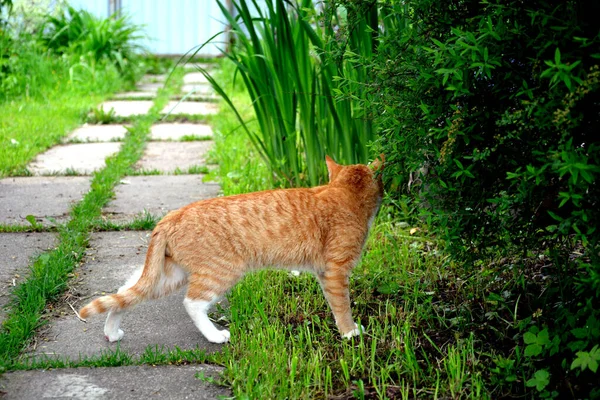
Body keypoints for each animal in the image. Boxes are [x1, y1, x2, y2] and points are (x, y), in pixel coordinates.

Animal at [79, 156, 384, 344]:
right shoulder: (335, 271)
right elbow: (342, 306)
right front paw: (350, 333)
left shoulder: (323, 272)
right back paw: (215, 336)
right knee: (192, 303)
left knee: (124, 295)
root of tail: (171, 216)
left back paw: (111, 332)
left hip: (167, 276)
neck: (343, 196)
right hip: (221, 271)